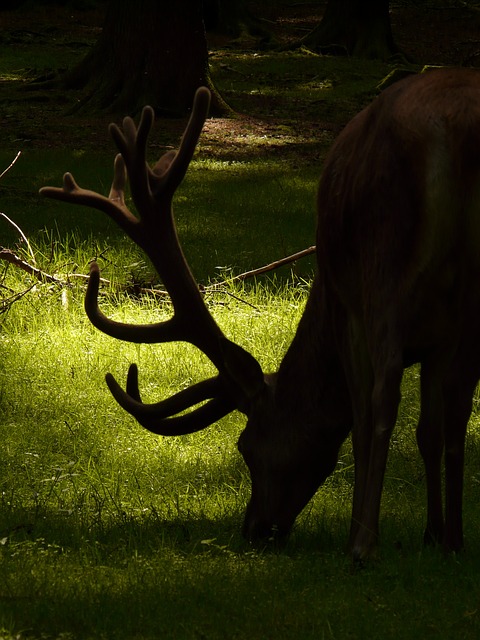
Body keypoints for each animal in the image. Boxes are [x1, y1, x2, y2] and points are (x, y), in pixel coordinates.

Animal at [39, 67, 480, 564]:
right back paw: (451, 538)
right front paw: (437, 535)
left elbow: (366, 416)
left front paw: (365, 532)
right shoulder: (439, 336)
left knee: (384, 396)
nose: (253, 528)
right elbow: (433, 429)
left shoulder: (349, 305)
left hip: (386, 262)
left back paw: (362, 544)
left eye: (246, 446)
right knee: (453, 406)